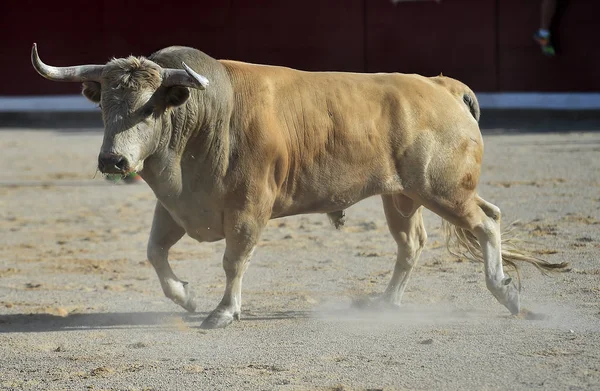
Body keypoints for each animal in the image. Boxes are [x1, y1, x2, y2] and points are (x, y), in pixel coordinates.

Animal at [31, 44, 568, 330]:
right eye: (104, 105)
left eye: (148, 107)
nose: (113, 159)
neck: (205, 118)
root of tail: (441, 85)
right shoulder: (176, 206)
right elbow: (154, 252)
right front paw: (185, 297)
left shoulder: (250, 208)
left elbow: (234, 260)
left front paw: (223, 312)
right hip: (403, 196)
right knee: (414, 242)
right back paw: (386, 304)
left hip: (443, 190)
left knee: (486, 223)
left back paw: (504, 291)